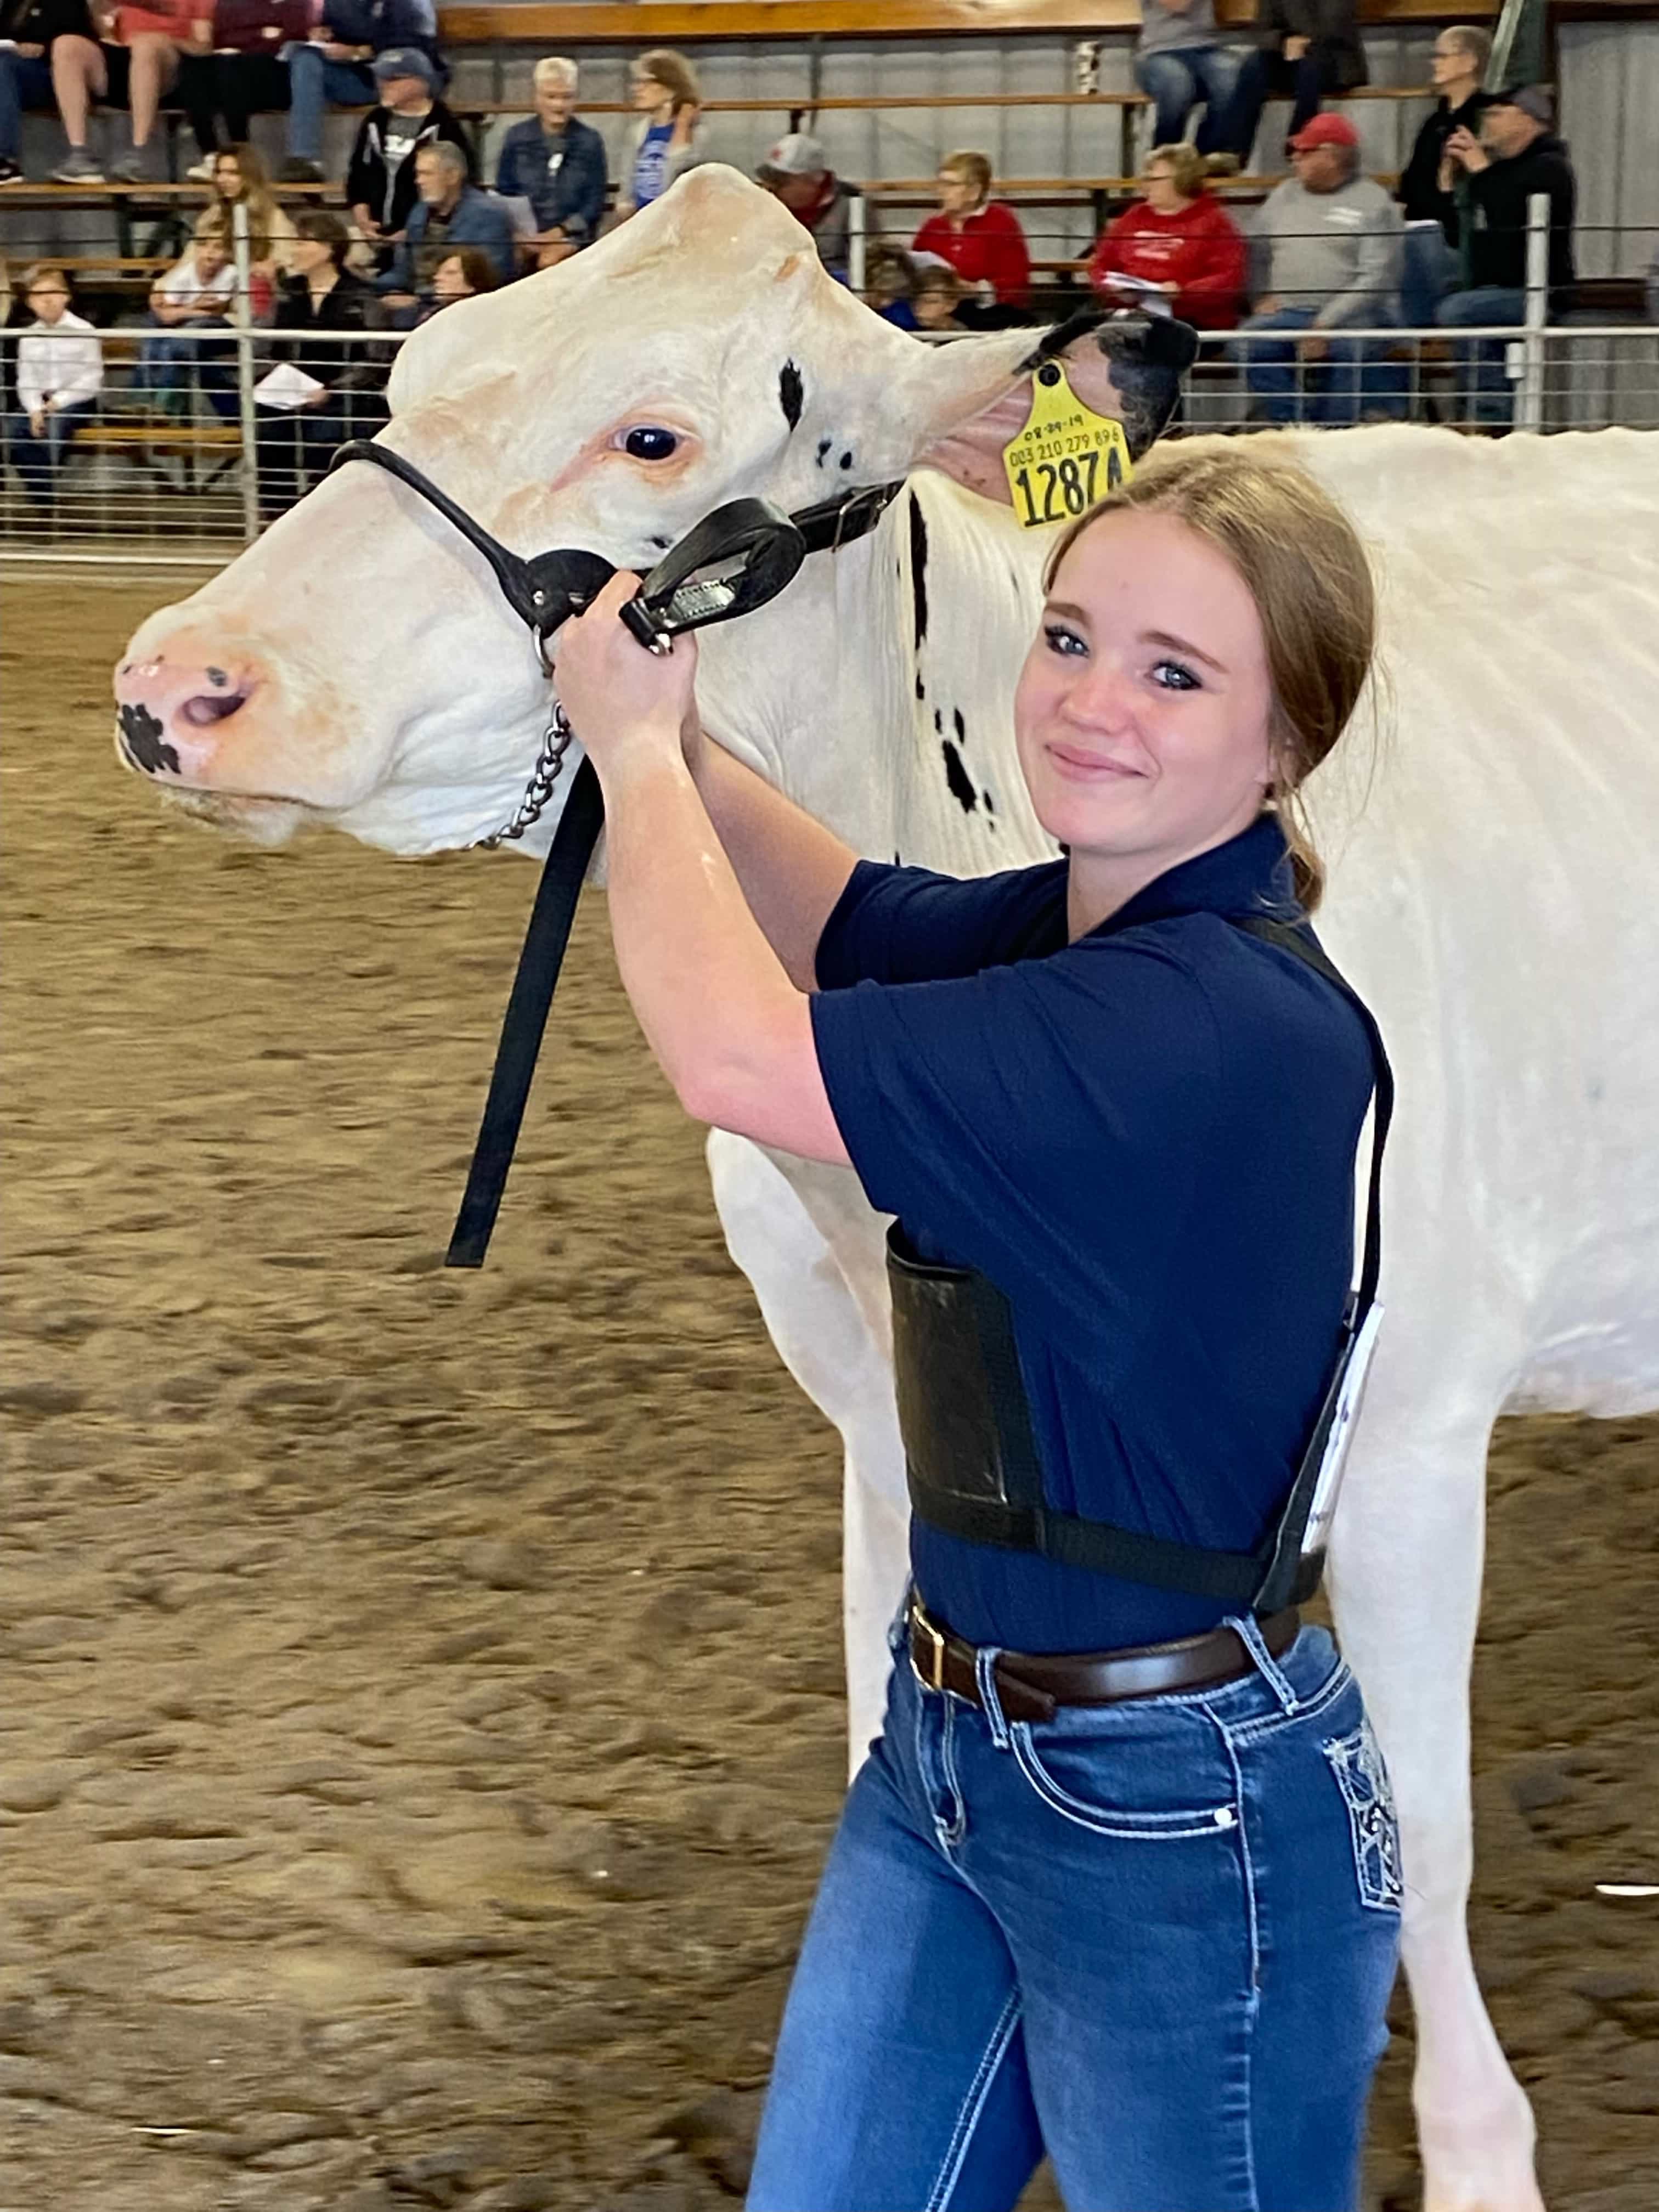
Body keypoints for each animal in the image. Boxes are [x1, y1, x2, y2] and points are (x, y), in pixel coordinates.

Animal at [107, 163, 1659, 2203]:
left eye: (655, 434)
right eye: (424, 361)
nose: (179, 684)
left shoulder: (1407, 1432)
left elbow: (1430, 1845)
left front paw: (1484, 2152)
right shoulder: (864, 1420)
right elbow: (876, 1721)